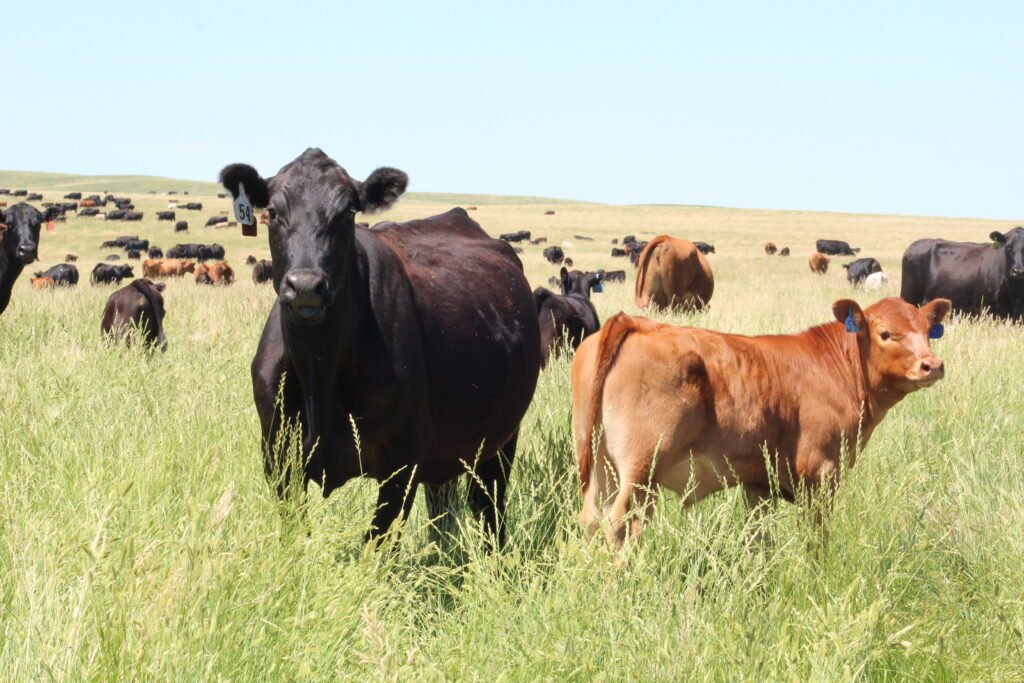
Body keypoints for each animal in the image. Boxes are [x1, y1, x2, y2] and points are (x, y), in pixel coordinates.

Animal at [218, 147, 541, 546]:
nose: (306, 285)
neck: (318, 370)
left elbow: (377, 545)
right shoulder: (278, 458)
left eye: (347, 213)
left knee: (489, 509)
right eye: (273, 212)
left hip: (501, 439)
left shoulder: (403, 464)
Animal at [572, 296, 951, 547]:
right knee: (620, 525)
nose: (932, 365)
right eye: (886, 333)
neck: (836, 367)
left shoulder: (759, 485)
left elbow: (759, 539)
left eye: (927, 331)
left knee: (592, 520)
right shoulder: (821, 473)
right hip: (641, 468)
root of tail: (634, 322)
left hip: (600, 464)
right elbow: (816, 538)